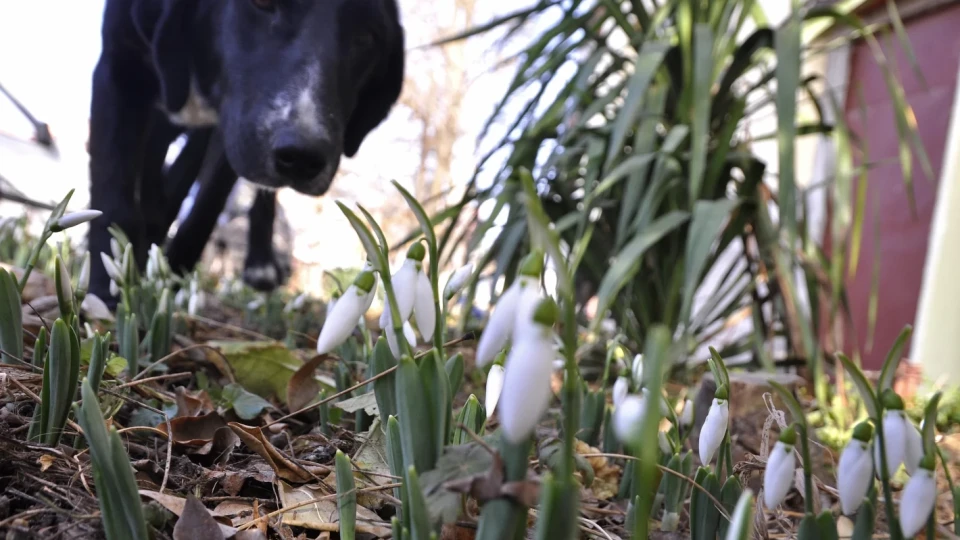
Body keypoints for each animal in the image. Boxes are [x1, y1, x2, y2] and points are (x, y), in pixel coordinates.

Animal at [86, 0, 404, 304]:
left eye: (366, 37)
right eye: (261, 2)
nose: (303, 158)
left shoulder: (229, 130)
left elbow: (203, 209)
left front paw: (169, 283)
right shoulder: (119, 66)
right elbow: (115, 199)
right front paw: (108, 295)